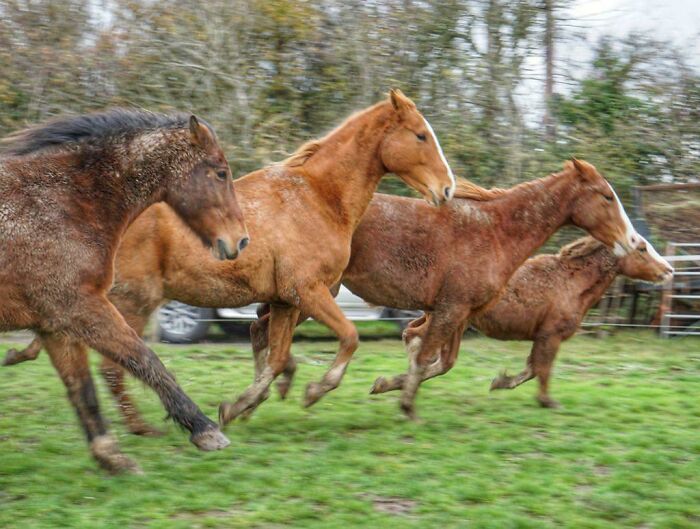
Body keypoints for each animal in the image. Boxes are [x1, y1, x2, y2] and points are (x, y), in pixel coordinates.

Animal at [0, 109, 248, 473]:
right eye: (220, 172)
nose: (240, 241)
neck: (64, 203)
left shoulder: (55, 325)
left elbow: (83, 390)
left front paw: (111, 456)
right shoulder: (81, 307)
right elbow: (144, 359)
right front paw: (204, 429)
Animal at [4, 90, 456, 433]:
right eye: (420, 136)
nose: (447, 190)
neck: (317, 198)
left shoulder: (285, 301)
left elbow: (275, 359)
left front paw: (239, 406)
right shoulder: (307, 292)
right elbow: (348, 337)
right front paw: (312, 391)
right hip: (131, 301)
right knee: (115, 367)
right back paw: (143, 429)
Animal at [247, 159, 643, 420]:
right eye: (606, 196)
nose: (633, 241)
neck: (495, 231)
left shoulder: (456, 312)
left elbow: (430, 357)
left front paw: (390, 386)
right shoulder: (451, 309)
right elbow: (425, 357)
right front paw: (406, 405)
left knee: (261, 330)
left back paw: (268, 391)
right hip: (311, 294)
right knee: (265, 332)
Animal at [479, 236, 672, 408]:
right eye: (642, 248)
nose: (669, 270)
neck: (569, 282)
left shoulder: (542, 337)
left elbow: (533, 368)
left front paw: (500, 382)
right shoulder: (550, 336)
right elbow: (542, 369)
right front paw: (546, 402)